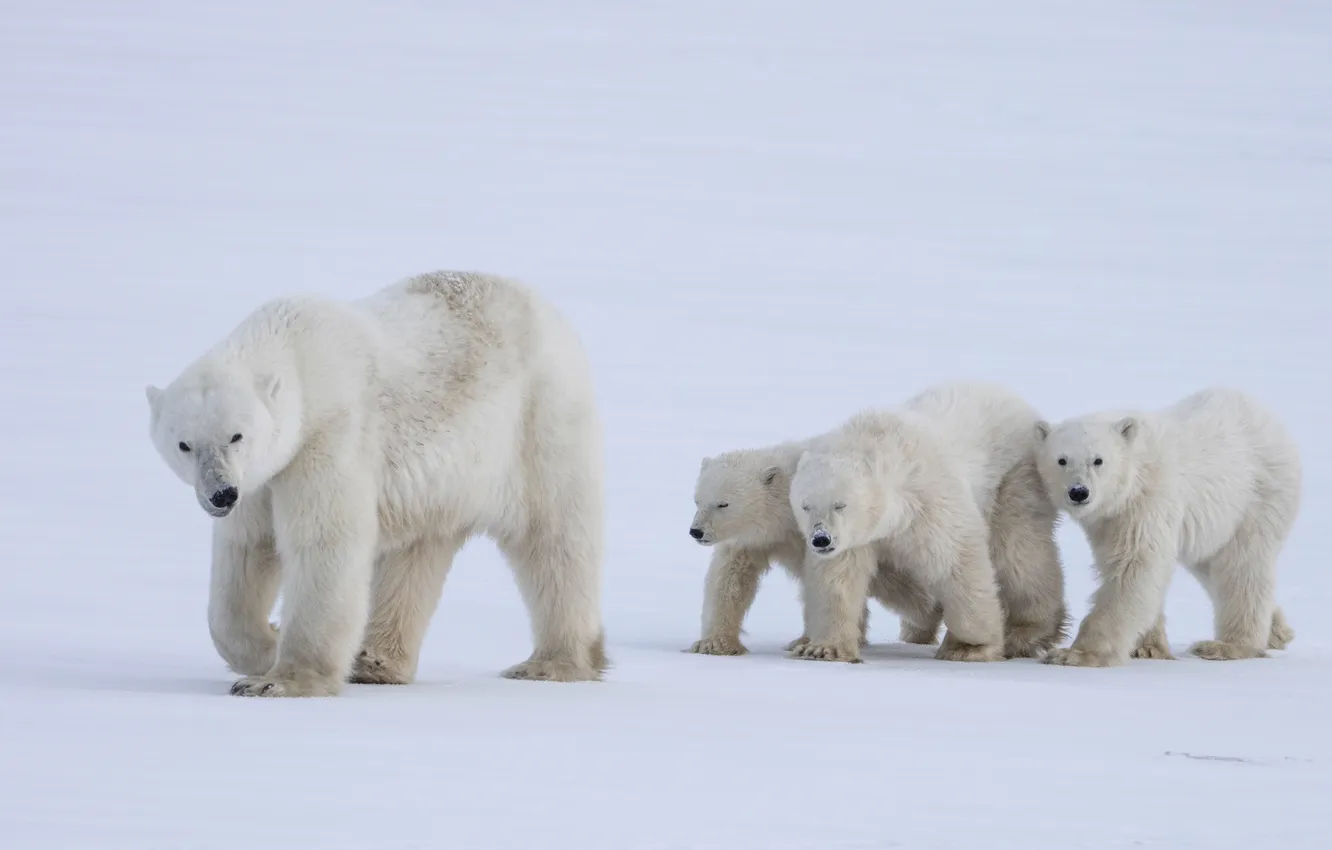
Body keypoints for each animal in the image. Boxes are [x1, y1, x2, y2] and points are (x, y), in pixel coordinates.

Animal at [145, 270, 607, 697]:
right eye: (184, 444)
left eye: (236, 436)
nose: (221, 494)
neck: (298, 353)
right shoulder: (263, 480)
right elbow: (246, 552)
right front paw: (266, 646)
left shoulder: (330, 434)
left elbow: (325, 542)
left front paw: (281, 680)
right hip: (441, 486)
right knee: (417, 554)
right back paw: (374, 662)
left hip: (537, 423)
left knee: (554, 539)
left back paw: (554, 663)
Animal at [685, 438, 944, 656]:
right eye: (697, 500)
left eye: (723, 504)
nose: (696, 531)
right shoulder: (753, 540)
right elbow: (730, 579)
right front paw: (713, 643)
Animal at [786, 381, 1069, 664]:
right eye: (805, 506)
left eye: (840, 504)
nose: (821, 539)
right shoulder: (856, 538)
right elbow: (838, 580)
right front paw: (823, 648)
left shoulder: (928, 501)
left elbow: (956, 561)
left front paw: (968, 646)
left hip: (1015, 479)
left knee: (1019, 553)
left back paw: (1028, 631)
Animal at [1033, 386, 1301, 667]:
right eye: (1061, 460)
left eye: (1098, 460)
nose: (1078, 492)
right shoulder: (1107, 521)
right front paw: (1149, 648)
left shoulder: (1148, 500)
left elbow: (1134, 565)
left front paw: (1075, 653)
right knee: (1211, 567)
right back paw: (1278, 631)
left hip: (1257, 495)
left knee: (1242, 566)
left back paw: (1228, 646)